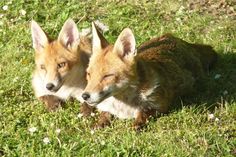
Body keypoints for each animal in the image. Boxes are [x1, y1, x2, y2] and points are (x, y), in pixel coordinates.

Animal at [81, 22, 218, 129]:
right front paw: (100, 123)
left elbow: (144, 113)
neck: (122, 105)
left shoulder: (161, 105)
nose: (84, 96)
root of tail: (178, 39)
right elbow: (104, 114)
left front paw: (138, 124)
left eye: (107, 76)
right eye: (89, 74)